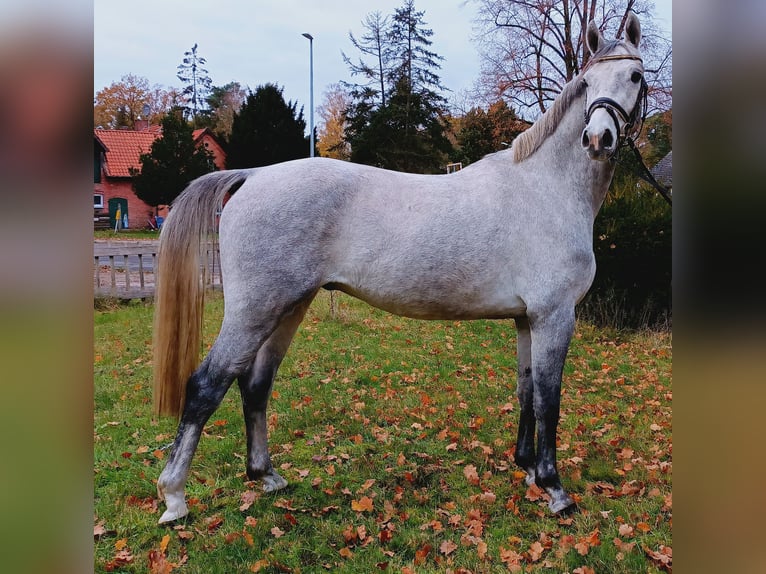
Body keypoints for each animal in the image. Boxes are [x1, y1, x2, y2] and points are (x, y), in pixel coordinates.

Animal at [154, 13, 648, 528]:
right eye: (588, 83)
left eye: (634, 76)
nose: (598, 139)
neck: (545, 189)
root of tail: (253, 175)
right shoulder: (554, 315)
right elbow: (550, 399)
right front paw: (554, 488)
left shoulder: (527, 319)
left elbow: (527, 392)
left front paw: (527, 468)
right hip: (254, 311)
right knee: (207, 385)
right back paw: (174, 498)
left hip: (288, 308)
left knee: (255, 385)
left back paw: (266, 476)